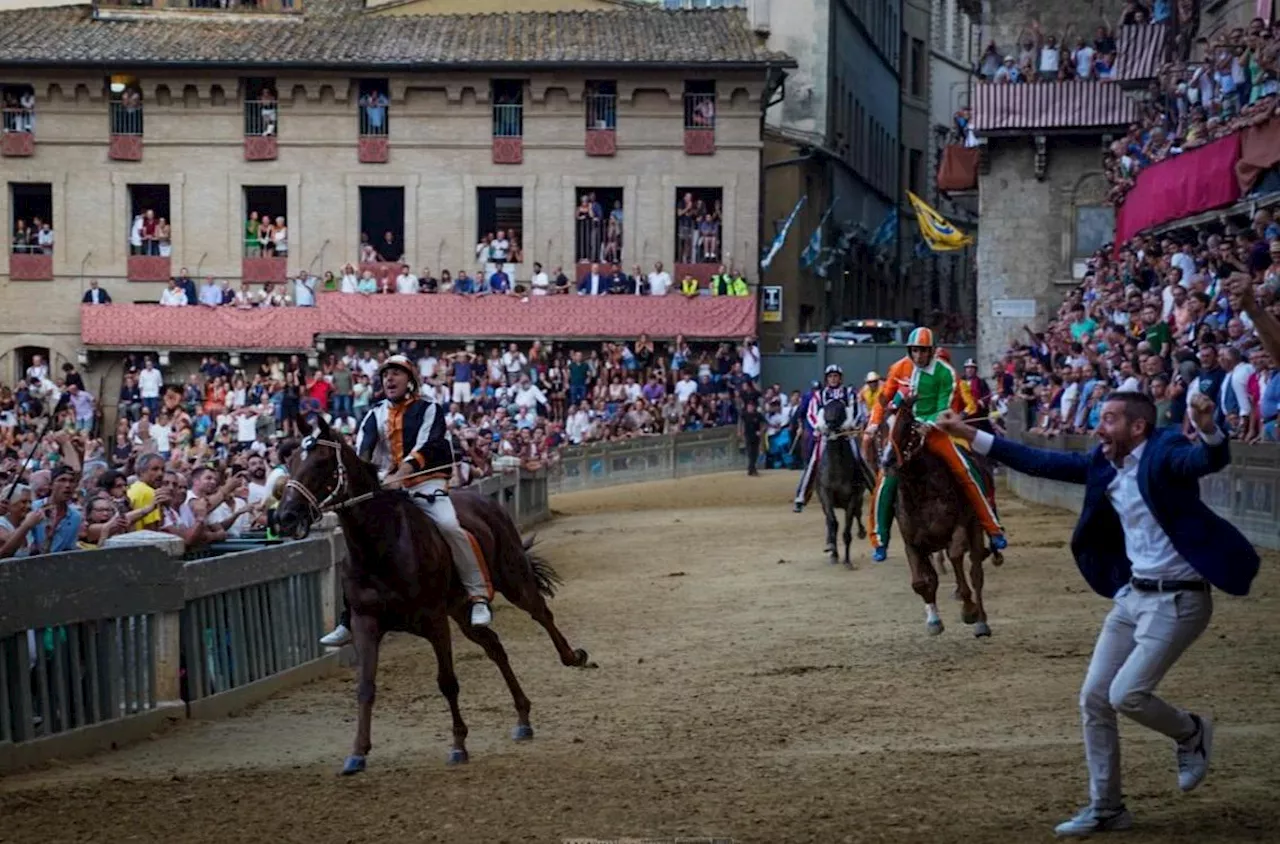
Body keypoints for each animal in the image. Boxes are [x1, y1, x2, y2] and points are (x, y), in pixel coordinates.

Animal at [275, 412, 588, 773]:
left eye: (321, 462)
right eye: (290, 462)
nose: (285, 516)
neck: (381, 546)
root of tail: (485, 502)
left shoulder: (435, 621)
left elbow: (447, 681)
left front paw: (458, 745)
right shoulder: (366, 622)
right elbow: (365, 687)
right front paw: (357, 753)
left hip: (513, 579)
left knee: (542, 613)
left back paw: (573, 657)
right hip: (463, 611)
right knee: (495, 646)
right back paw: (523, 718)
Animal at [819, 397, 870, 568]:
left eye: (841, 409)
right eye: (825, 408)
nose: (830, 424)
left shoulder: (853, 497)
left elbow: (847, 528)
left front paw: (847, 561)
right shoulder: (825, 494)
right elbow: (833, 523)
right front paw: (833, 553)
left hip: (859, 497)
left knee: (857, 514)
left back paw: (862, 532)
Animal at [875, 399, 1003, 637]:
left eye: (907, 427)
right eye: (880, 429)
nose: (888, 462)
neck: (921, 492)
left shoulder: (959, 527)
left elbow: (957, 558)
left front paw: (969, 610)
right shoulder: (912, 542)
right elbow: (921, 582)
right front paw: (933, 621)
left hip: (975, 526)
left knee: (976, 573)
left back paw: (981, 622)